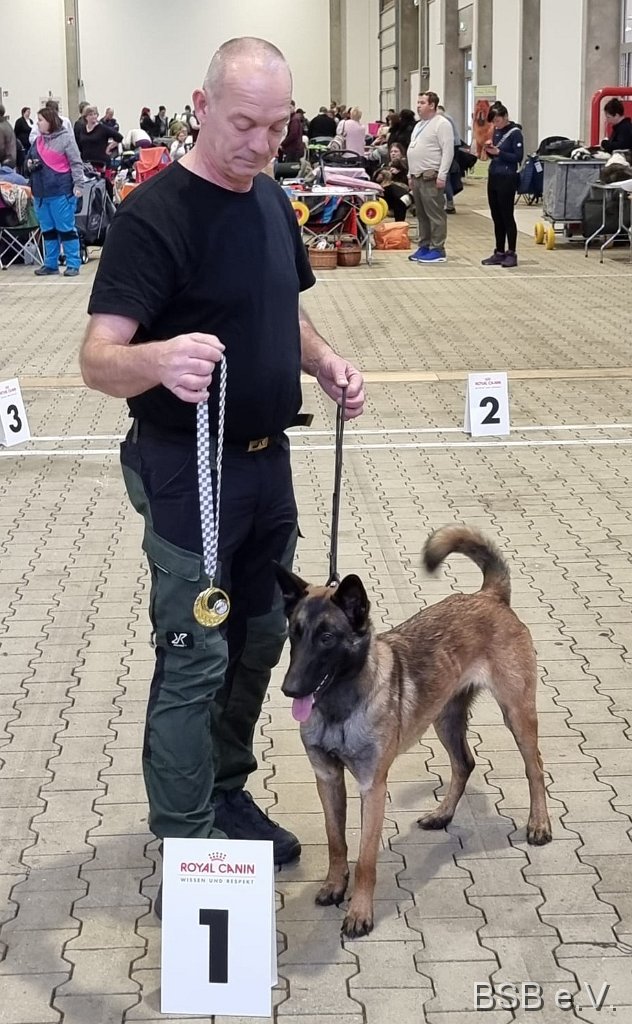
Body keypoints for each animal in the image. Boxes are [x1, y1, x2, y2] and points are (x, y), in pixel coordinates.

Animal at [275, 525, 552, 938]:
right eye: (295, 634)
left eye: (326, 638)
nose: (289, 689)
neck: (340, 707)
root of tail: (489, 596)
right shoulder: (327, 778)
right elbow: (336, 841)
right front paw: (334, 886)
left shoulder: (372, 788)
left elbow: (365, 859)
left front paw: (359, 912)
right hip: (444, 718)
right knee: (464, 763)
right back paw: (442, 814)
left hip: (517, 713)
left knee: (534, 767)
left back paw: (539, 824)